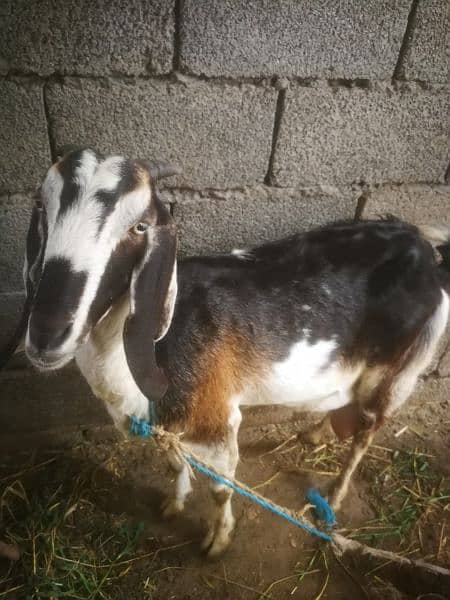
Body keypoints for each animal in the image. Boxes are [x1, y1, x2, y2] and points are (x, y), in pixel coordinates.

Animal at [4, 150, 450, 556]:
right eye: (41, 208)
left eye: (139, 226)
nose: (47, 334)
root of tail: (427, 252)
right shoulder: (166, 424)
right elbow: (174, 461)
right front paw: (174, 503)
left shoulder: (216, 421)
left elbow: (221, 489)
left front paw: (217, 541)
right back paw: (314, 433)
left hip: (394, 372)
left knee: (366, 432)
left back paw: (334, 496)